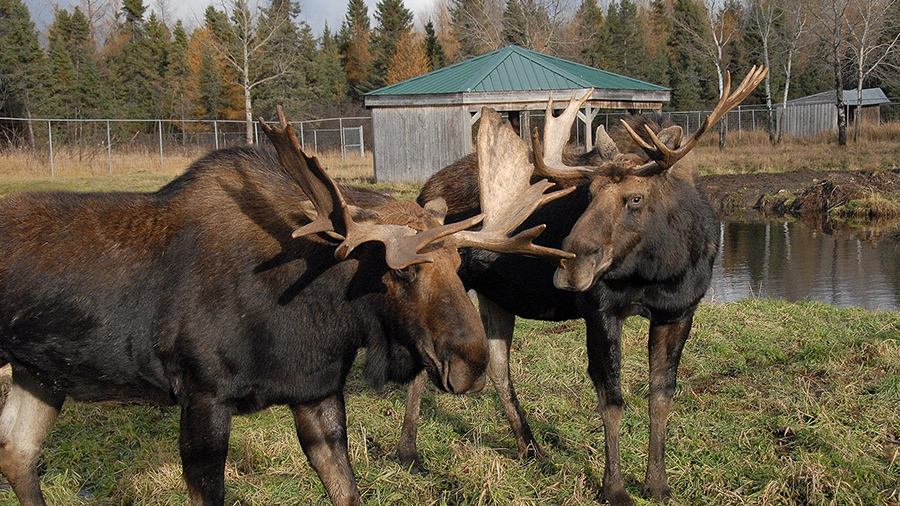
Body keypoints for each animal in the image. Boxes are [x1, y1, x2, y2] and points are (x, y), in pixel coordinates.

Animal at [0, 105, 572, 504]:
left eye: (459, 265)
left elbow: (347, 491)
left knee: (17, 454)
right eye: (401, 270)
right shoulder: (202, 396)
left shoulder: (315, 391)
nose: (471, 363)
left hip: (41, 375)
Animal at [400, 68, 768, 506]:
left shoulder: (679, 311)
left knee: (498, 368)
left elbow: (661, 396)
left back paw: (533, 449)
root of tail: (422, 192)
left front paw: (657, 483)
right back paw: (408, 453)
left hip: (495, 296)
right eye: (587, 194)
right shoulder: (601, 309)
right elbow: (612, 399)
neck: (660, 268)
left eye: (635, 198)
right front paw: (615, 488)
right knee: (423, 362)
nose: (568, 265)